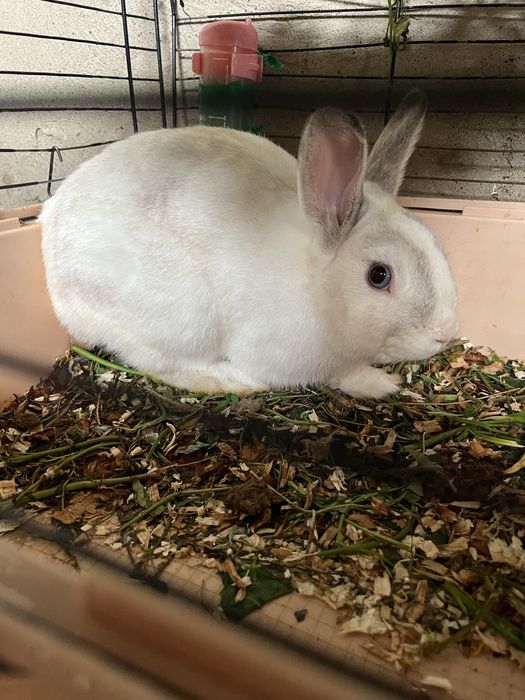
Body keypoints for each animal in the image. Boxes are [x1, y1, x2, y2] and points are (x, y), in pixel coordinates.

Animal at [40, 90, 458, 399]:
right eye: (379, 275)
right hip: (183, 318)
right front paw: (382, 384)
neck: (316, 289)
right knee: (160, 363)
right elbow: (341, 375)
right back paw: (230, 382)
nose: (444, 335)